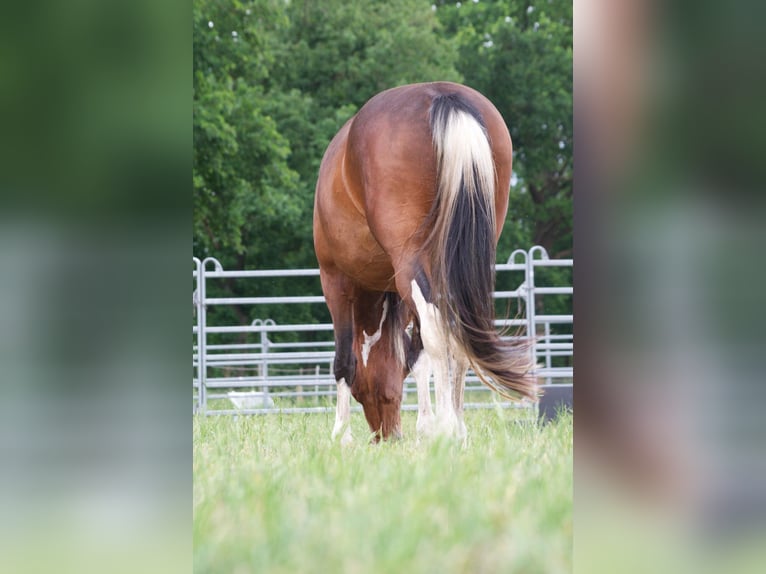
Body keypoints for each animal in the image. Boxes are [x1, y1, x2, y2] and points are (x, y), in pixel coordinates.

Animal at [312, 81, 540, 444]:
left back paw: (449, 426)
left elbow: (345, 359)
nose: (388, 435)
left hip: (408, 265)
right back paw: (457, 427)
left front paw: (341, 434)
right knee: (457, 331)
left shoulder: (335, 281)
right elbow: (418, 357)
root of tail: (441, 94)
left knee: (439, 330)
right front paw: (427, 426)